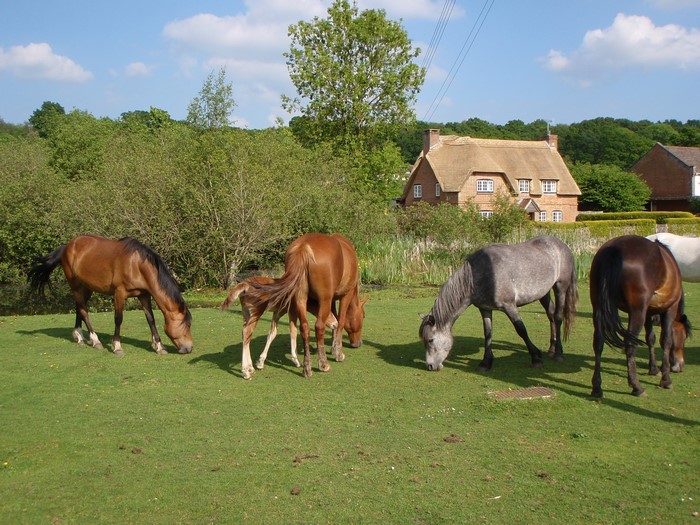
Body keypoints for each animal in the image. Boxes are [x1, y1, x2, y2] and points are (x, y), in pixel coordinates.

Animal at [27, 235, 192, 356]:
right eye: (187, 325)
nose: (189, 348)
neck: (136, 265)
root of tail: (66, 247)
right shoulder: (119, 294)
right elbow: (118, 319)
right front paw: (117, 346)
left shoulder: (144, 295)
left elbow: (151, 320)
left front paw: (159, 346)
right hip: (76, 286)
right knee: (83, 311)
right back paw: (95, 341)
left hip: (86, 288)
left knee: (79, 308)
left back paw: (79, 336)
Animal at [247, 233, 367, 378]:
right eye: (363, 316)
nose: (358, 343)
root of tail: (303, 248)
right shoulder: (344, 296)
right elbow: (341, 322)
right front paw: (338, 353)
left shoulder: (331, 300)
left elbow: (334, 320)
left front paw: (333, 348)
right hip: (324, 300)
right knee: (319, 327)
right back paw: (323, 364)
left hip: (300, 299)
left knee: (304, 328)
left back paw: (307, 367)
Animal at [419, 236, 578, 372]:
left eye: (431, 340)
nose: (430, 366)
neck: (479, 274)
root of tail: (562, 245)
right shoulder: (485, 309)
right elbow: (488, 334)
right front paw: (486, 362)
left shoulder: (509, 306)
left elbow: (521, 330)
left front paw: (536, 358)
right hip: (543, 293)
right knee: (550, 315)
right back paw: (551, 349)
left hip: (560, 287)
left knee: (558, 317)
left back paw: (558, 353)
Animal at [590, 235, 688, 398]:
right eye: (684, 336)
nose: (680, 365)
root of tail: (615, 248)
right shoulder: (669, 309)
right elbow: (666, 340)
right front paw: (665, 379)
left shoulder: (648, 312)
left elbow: (651, 338)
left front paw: (653, 369)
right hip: (637, 312)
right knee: (630, 344)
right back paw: (636, 387)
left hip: (598, 308)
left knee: (598, 342)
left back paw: (597, 388)